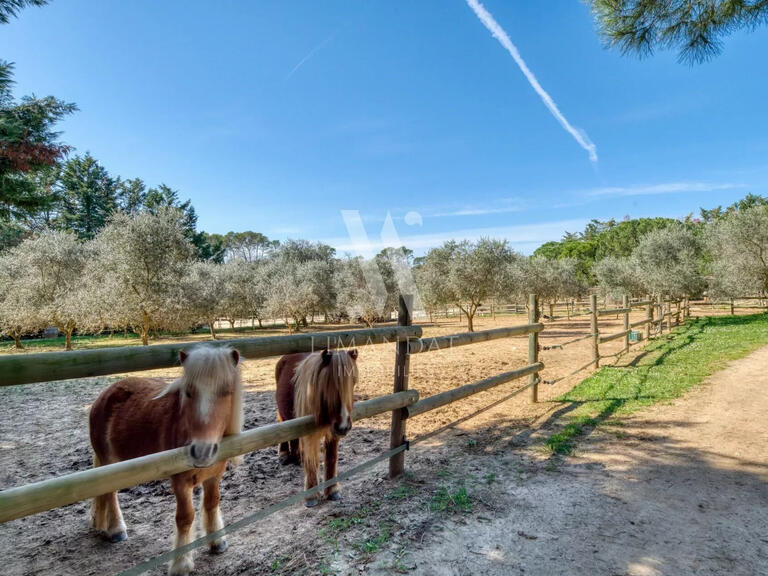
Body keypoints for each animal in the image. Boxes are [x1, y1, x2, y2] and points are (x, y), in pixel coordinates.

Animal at [89, 346, 243, 576]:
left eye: (226, 392)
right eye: (188, 392)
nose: (201, 451)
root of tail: (105, 395)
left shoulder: (214, 476)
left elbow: (212, 503)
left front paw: (217, 542)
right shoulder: (180, 483)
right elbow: (185, 517)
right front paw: (181, 564)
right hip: (110, 465)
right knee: (110, 494)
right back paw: (117, 530)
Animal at [276, 346, 360, 504]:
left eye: (353, 382)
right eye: (329, 383)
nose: (344, 426)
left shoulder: (333, 432)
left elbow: (331, 458)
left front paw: (332, 490)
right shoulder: (307, 432)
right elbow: (311, 460)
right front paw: (311, 495)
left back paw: (295, 456)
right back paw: (284, 454)